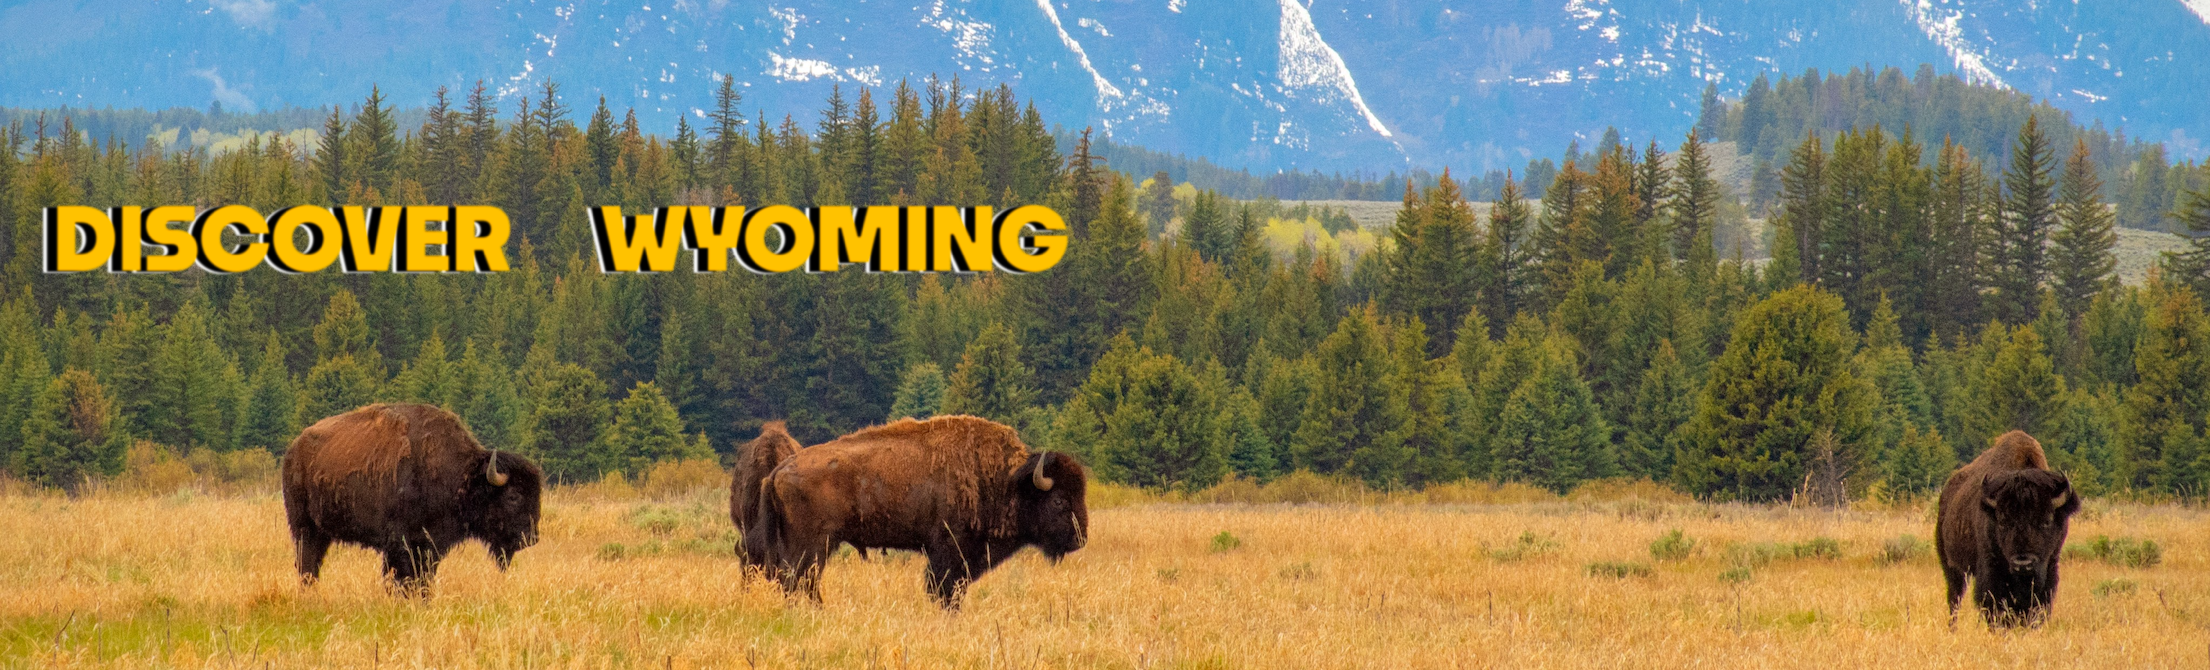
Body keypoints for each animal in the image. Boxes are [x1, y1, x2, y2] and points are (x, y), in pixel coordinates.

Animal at [282, 402, 545, 597]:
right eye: (513, 496)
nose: (531, 538)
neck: (462, 476)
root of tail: (294, 449)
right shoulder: (401, 543)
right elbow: (402, 579)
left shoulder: (430, 545)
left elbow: (423, 578)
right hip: (304, 528)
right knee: (307, 564)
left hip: (321, 532)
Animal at [742, 415, 1087, 610]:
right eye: (1059, 501)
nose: (1080, 539)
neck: (1006, 481)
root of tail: (779, 471)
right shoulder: (949, 551)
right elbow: (944, 590)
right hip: (813, 544)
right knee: (799, 580)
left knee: (796, 581)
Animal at [1944, 431, 2077, 627]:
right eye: (2002, 522)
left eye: (2046, 521)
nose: (2023, 564)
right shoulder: (1991, 570)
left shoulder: (2050, 566)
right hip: (1953, 568)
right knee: (1955, 599)